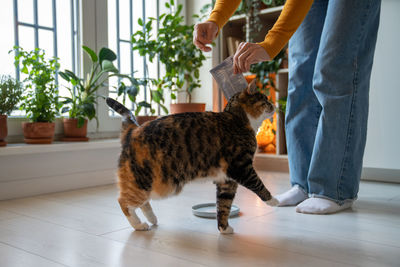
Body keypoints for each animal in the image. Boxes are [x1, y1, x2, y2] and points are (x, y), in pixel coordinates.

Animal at [106, 80, 278, 236]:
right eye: (265, 100)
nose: (274, 105)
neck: (237, 119)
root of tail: (133, 130)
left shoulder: (226, 180)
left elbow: (224, 205)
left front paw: (224, 228)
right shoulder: (241, 167)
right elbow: (257, 183)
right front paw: (273, 200)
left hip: (154, 185)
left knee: (143, 202)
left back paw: (152, 219)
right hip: (146, 181)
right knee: (124, 202)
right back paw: (139, 225)